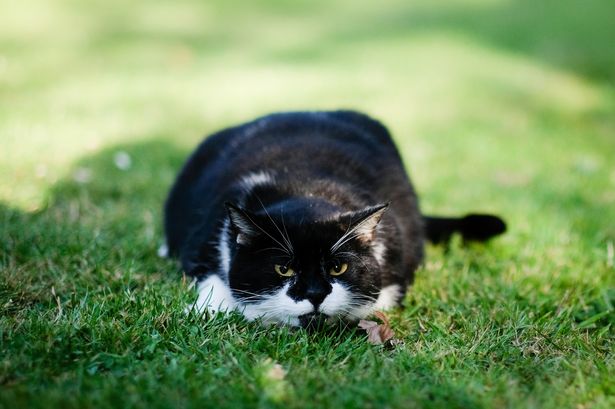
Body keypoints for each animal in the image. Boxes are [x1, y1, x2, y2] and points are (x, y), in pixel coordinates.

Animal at [164, 110, 506, 326]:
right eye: (283, 269)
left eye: (338, 268)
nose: (315, 295)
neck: (304, 184)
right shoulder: (207, 237)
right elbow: (212, 279)